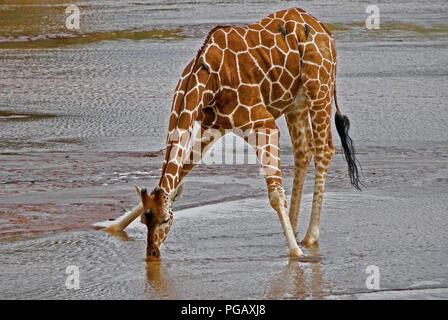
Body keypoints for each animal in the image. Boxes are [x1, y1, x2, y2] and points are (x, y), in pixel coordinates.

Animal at [105, 7, 360, 262]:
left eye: (166, 219)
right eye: (144, 220)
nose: (152, 253)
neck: (209, 79)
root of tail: (325, 30)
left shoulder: (263, 124)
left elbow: (275, 196)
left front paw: (295, 253)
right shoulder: (214, 125)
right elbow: (184, 168)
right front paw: (112, 226)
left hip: (319, 89)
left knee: (324, 150)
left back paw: (309, 237)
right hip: (295, 102)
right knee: (303, 151)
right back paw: (295, 227)